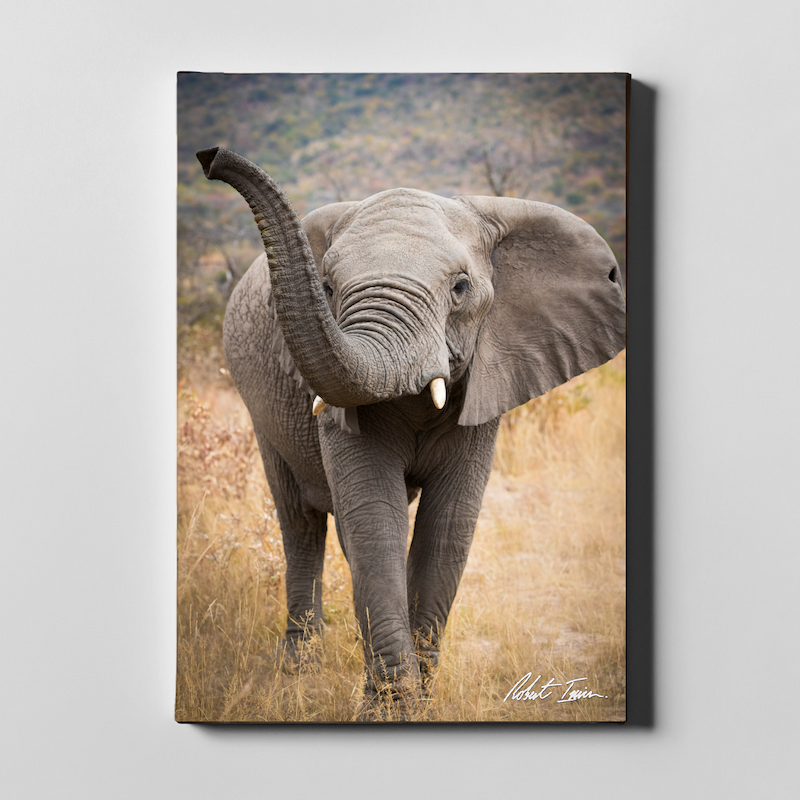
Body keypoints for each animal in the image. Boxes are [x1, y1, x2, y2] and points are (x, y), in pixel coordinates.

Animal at [195, 146, 626, 717]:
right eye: (327, 288)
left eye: (461, 289)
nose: (210, 156)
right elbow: (374, 519)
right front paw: (390, 710)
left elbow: (448, 526)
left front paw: (418, 705)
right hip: (259, 406)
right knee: (301, 524)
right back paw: (298, 672)